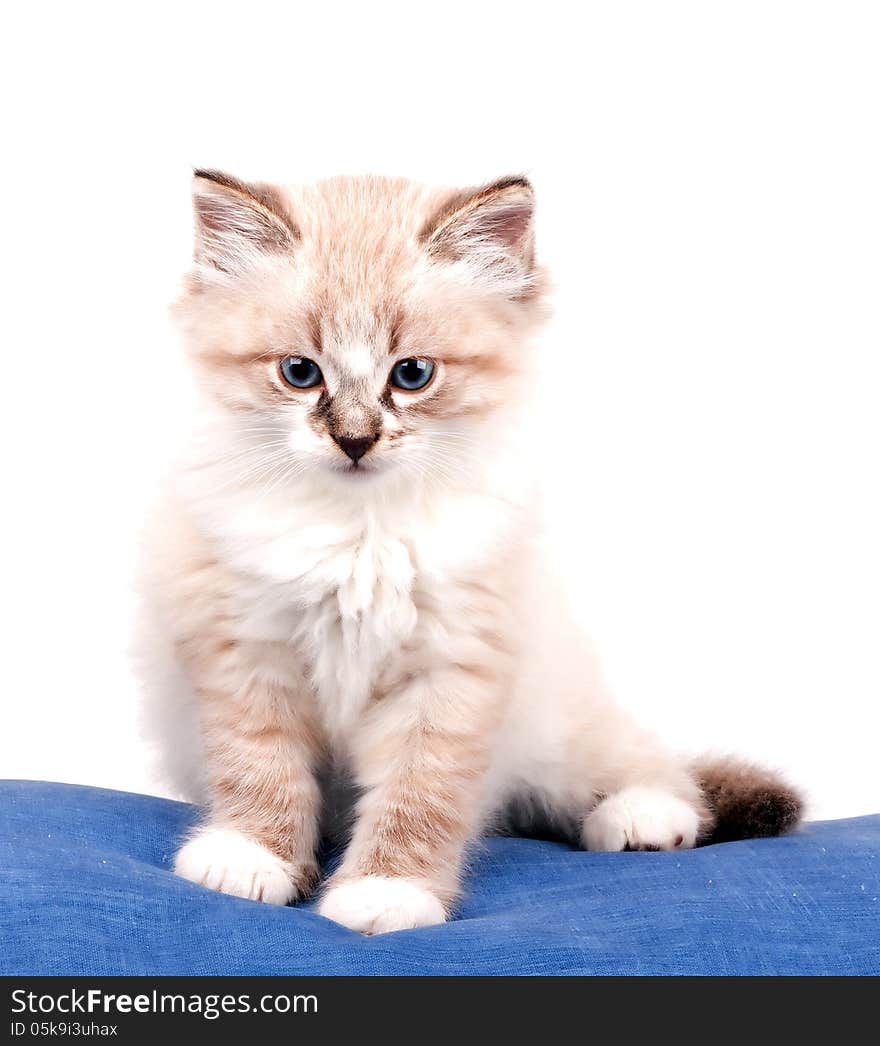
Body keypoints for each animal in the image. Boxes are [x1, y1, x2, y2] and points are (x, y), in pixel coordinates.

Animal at [136, 169, 795, 933]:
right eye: (300, 373)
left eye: (412, 375)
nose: (355, 441)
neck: (360, 533)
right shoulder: (247, 653)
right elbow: (261, 770)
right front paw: (251, 858)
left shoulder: (450, 670)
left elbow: (417, 798)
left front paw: (386, 893)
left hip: (563, 727)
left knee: (644, 769)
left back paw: (642, 820)